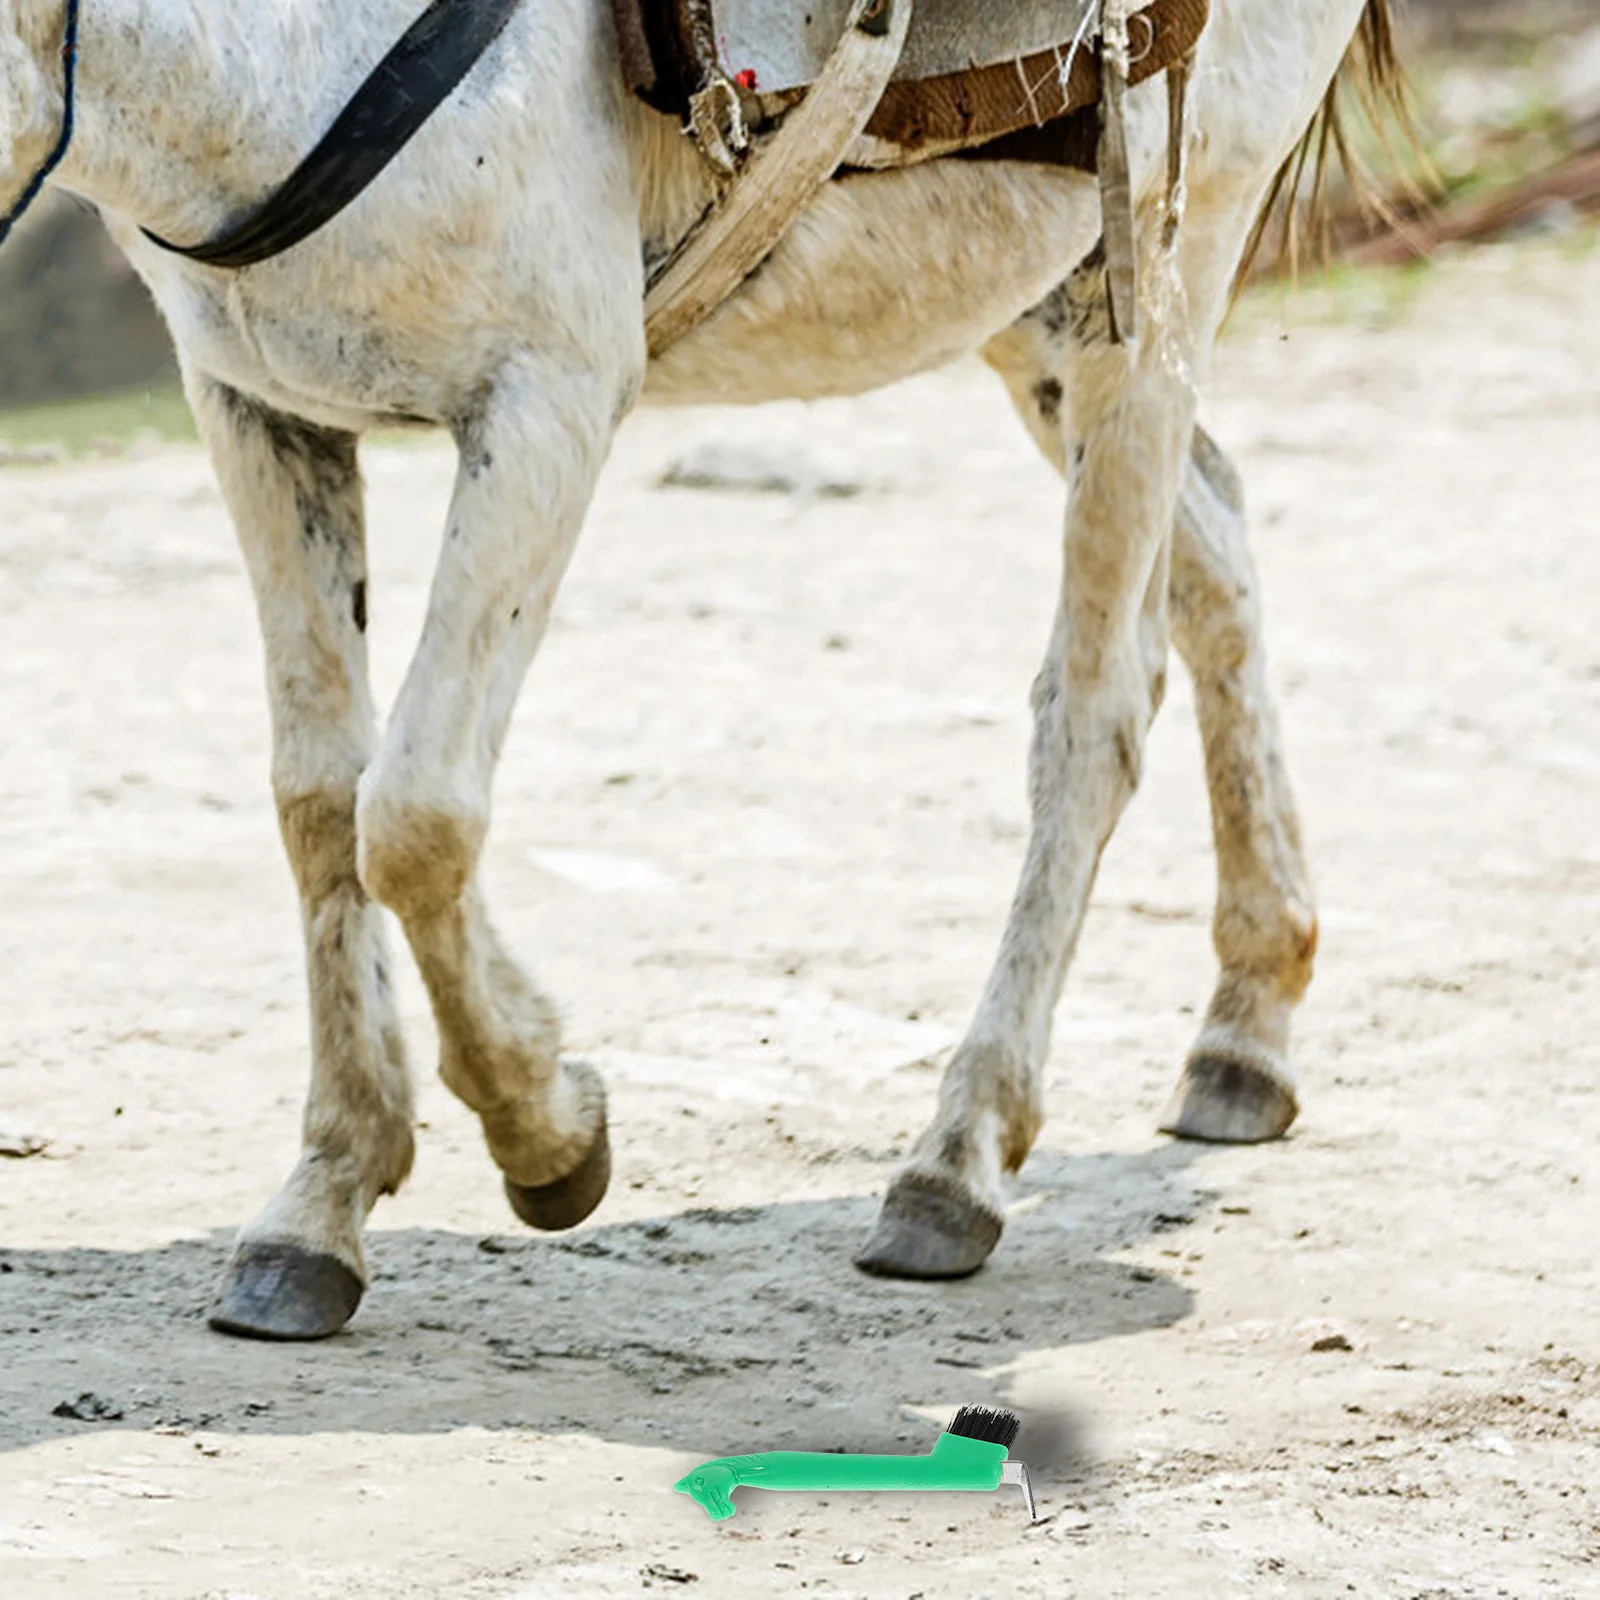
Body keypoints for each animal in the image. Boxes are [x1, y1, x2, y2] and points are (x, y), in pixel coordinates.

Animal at [0, 0, 1392, 1338]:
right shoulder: (256, 404)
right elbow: (317, 806)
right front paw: (323, 1200)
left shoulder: (547, 398)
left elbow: (414, 815)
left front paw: (546, 1131)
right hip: (1042, 289)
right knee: (1214, 549)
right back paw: (1246, 1032)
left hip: (1172, 250)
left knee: (1095, 708)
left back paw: (954, 1165)